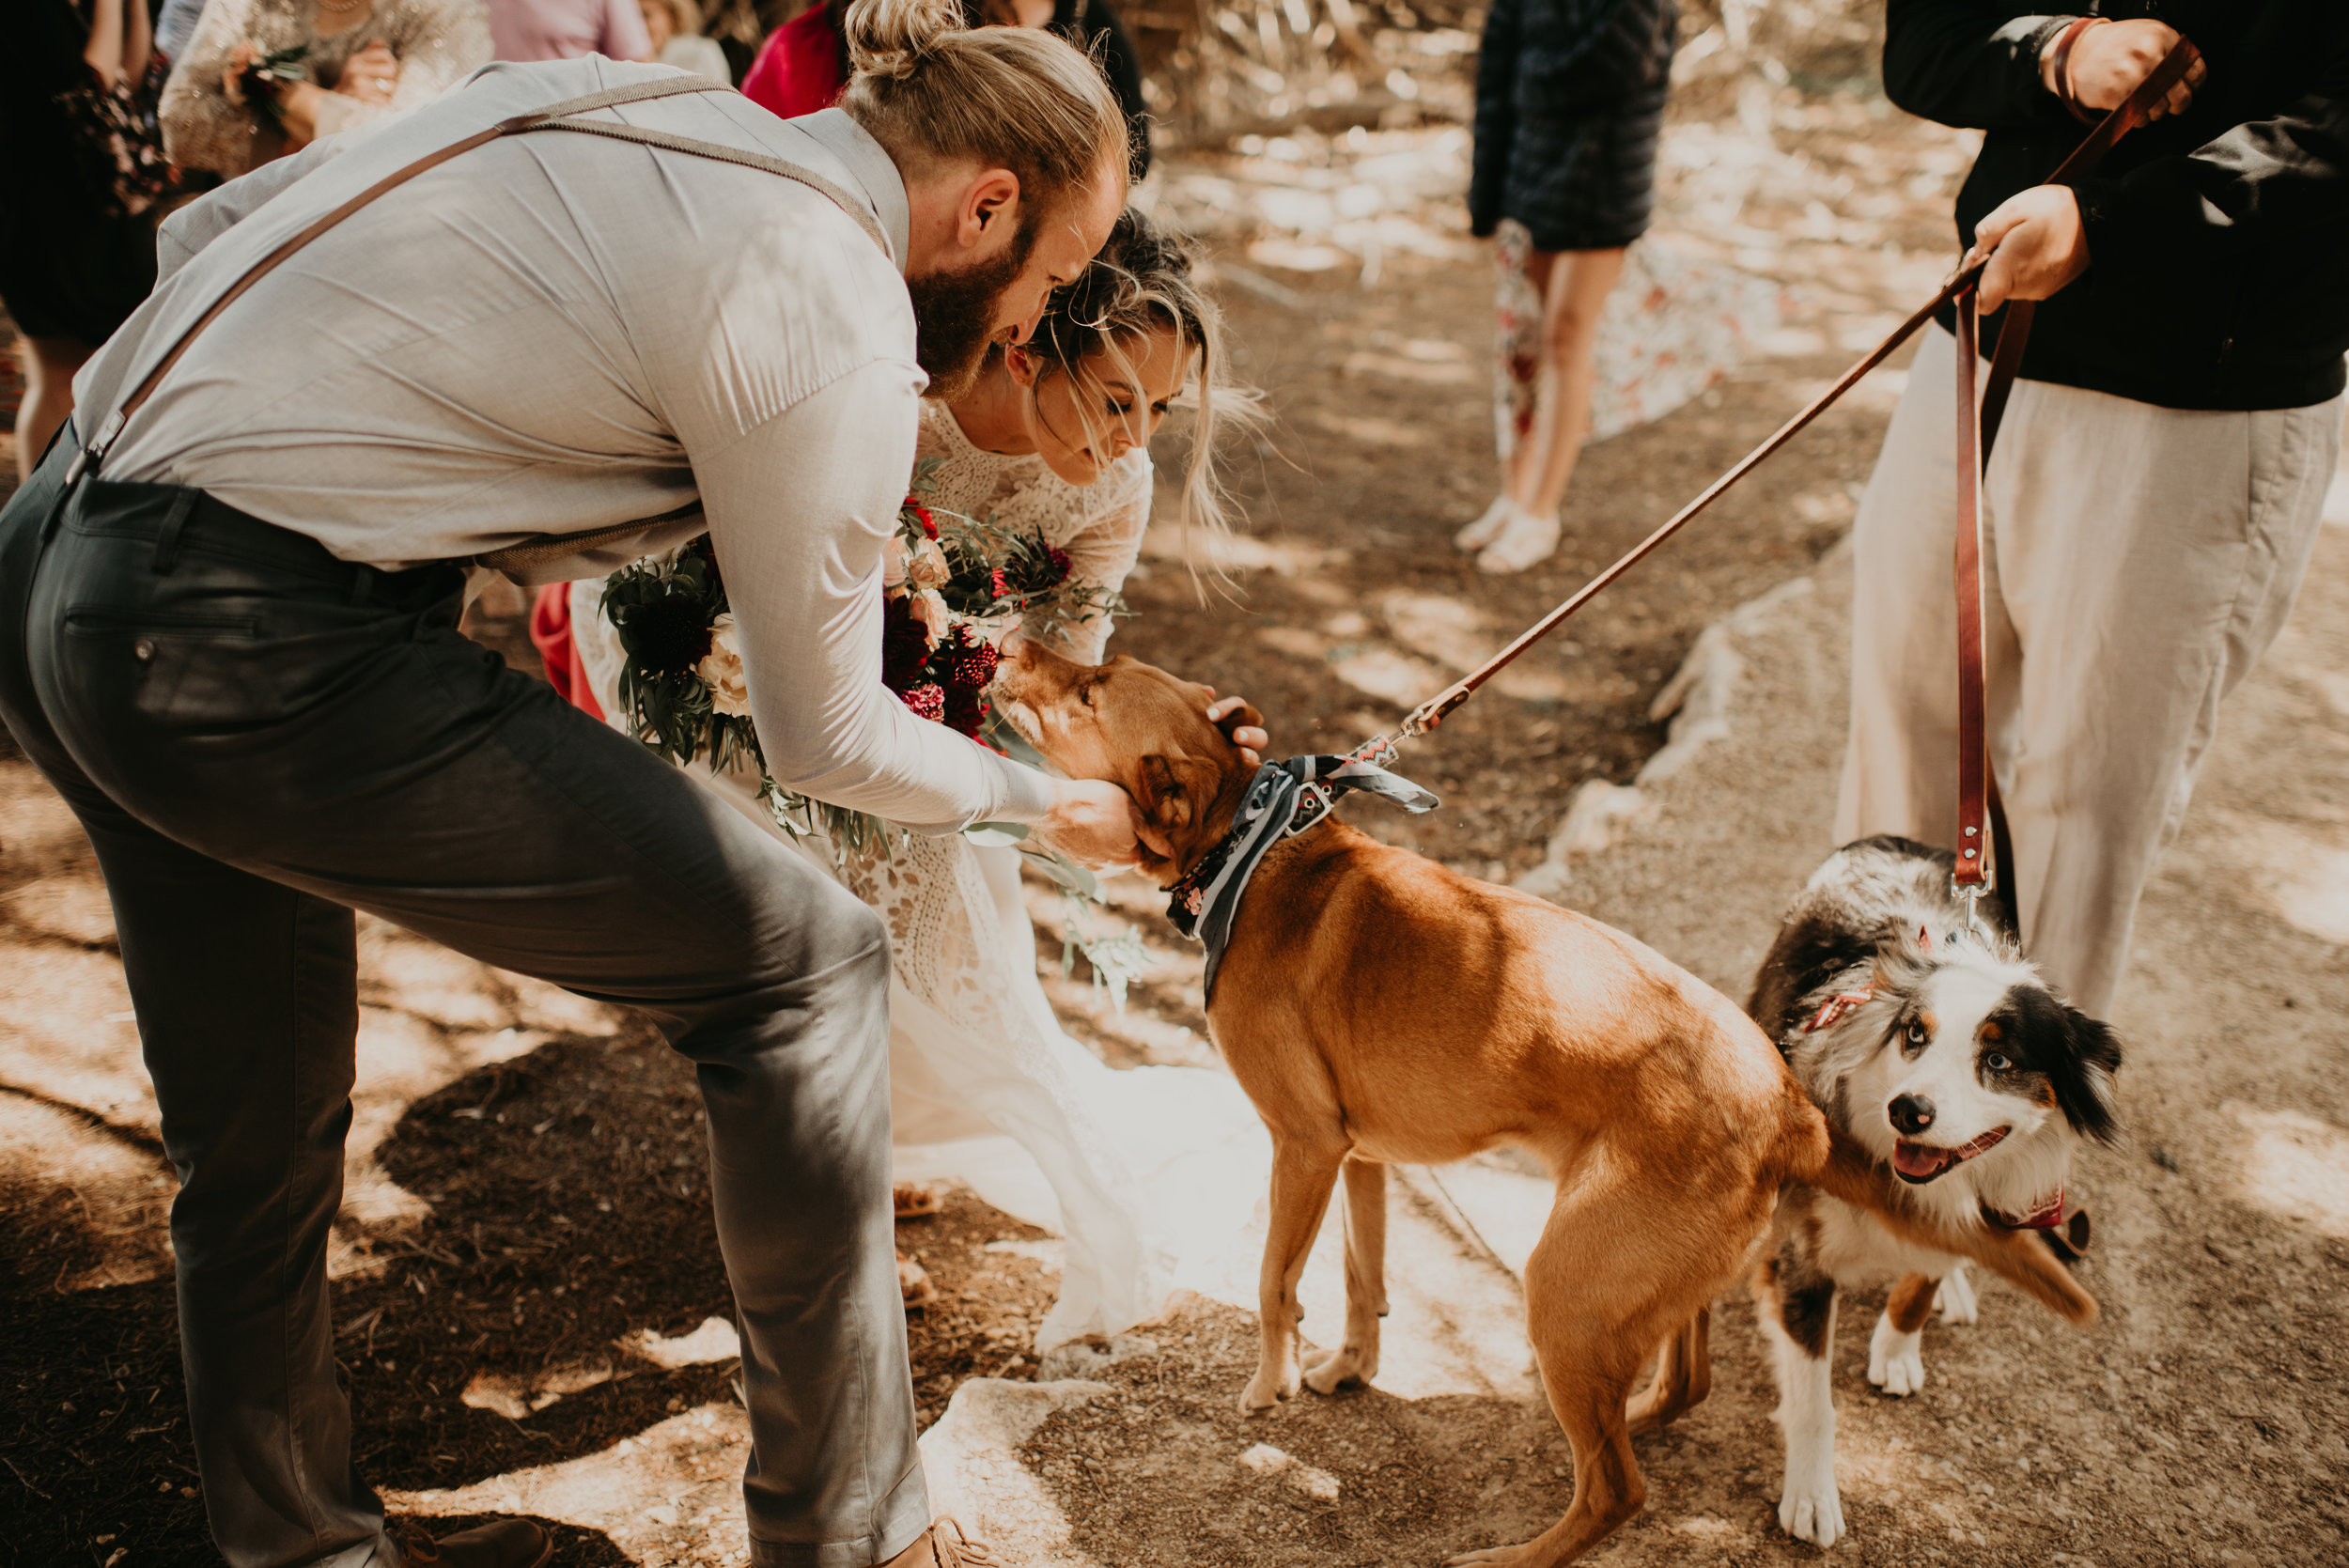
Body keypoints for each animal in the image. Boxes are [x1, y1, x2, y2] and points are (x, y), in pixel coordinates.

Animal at [991, 638, 1832, 1568]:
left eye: (1091, 690)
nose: (1013, 640)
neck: (1248, 849)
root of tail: (1791, 1108)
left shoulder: (1304, 1145)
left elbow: (1275, 1280)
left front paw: (1271, 1383)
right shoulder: (1361, 1156)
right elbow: (1363, 1272)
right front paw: (1348, 1367)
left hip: (1565, 1292)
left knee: (1617, 1490)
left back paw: (1514, 1554)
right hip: (1647, 1290)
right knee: (1681, 1384)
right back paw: (1630, 1416)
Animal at [1757, 840, 2123, 1549]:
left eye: (1999, 1061)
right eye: (1914, 1035)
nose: (1908, 1110)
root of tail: (1899, 841)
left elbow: (1920, 1284)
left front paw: (1898, 1346)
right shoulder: (1802, 1257)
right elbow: (1814, 1403)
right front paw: (1812, 1497)